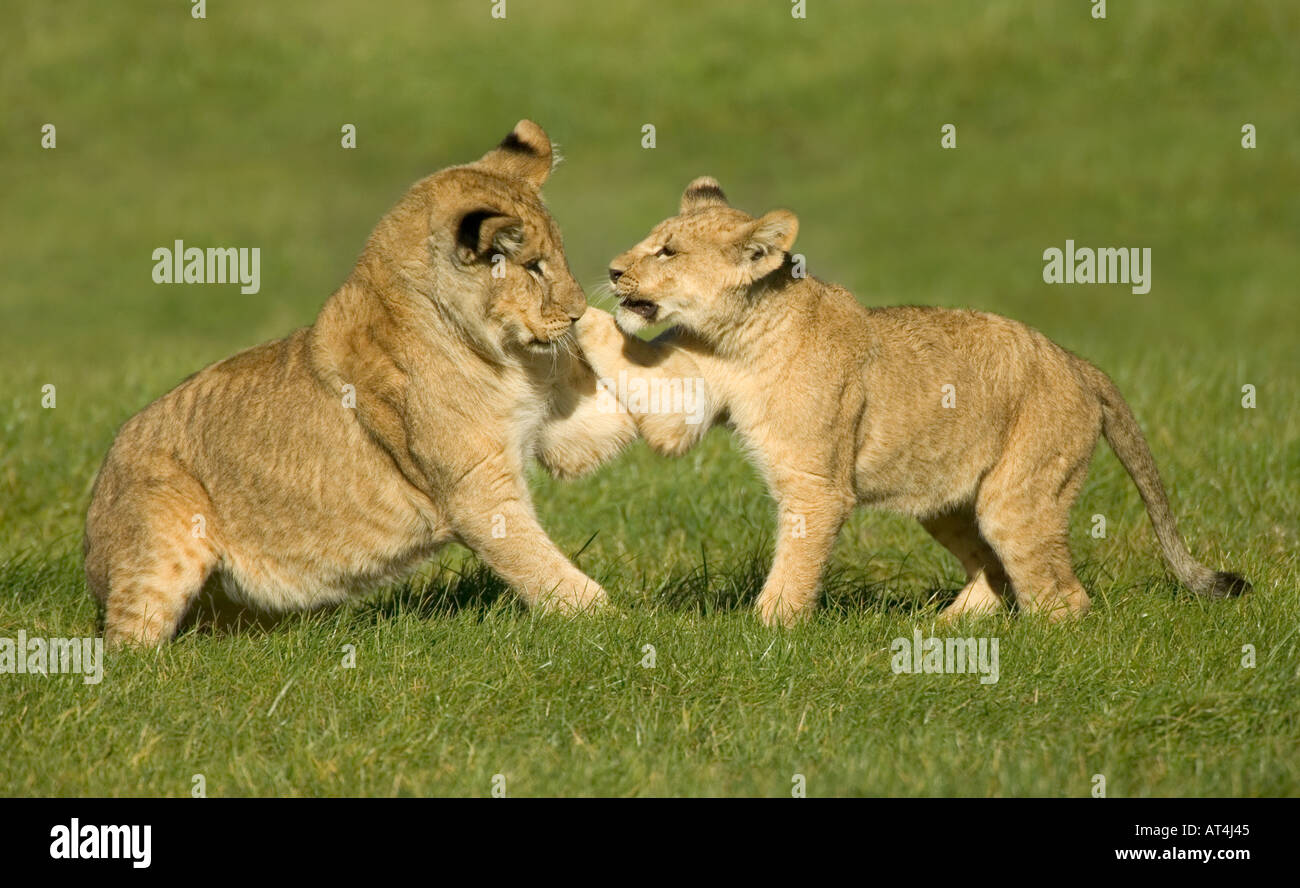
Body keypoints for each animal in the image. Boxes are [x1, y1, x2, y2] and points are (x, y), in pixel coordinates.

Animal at [85, 120, 638, 646]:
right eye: (533, 267)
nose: (578, 312)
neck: (506, 358)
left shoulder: (560, 431)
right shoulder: (476, 493)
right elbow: (539, 565)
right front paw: (615, 625)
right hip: (162, 541)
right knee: (128, 644)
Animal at [576, 176, 1250, 626]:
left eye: (667, 251)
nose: (611, 270)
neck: (738, 341)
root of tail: (1075, 361)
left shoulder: (817, 486)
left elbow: (794, 567)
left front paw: (767, 634)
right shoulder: (685, 399)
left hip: (1019, 496)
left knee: (1063, 597)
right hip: (944, 499)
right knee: (994, 569)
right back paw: (942, 632)